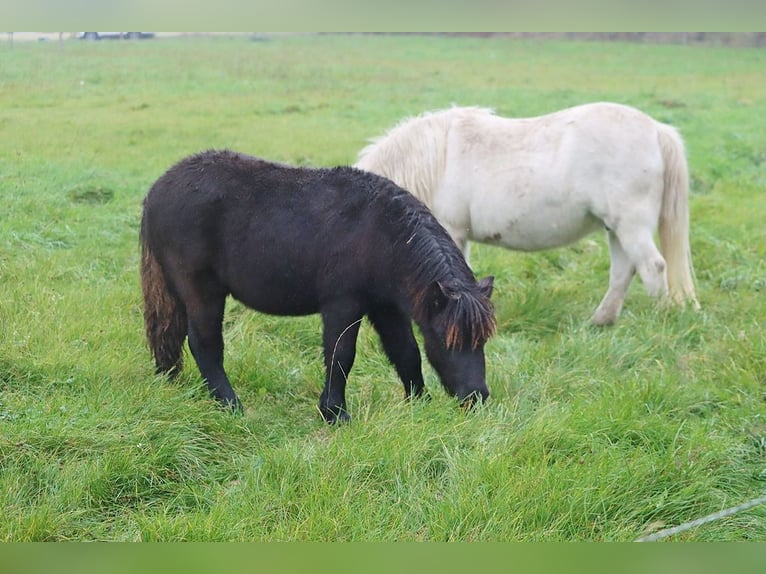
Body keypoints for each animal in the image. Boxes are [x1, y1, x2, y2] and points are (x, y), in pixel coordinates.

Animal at [140, 151, 498, 426]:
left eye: (481, 340)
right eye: (446, 340)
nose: (476, 397)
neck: (385, 234)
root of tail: (156, 190)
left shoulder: (385, 308)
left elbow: (406, 352)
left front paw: (418, 404)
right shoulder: (343, 305)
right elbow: (341, 355)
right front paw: (335, 413)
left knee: (169, 335)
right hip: (202, 292)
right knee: (204, 344)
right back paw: (230, 405)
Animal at [356, 103, 700, 326]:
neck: (432, 161)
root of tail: (656, 130)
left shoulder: (450, 230)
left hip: (630, 225)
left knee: (653, 267)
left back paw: (660, 319)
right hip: (616, 228)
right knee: (623, 271)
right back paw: (600, 321)